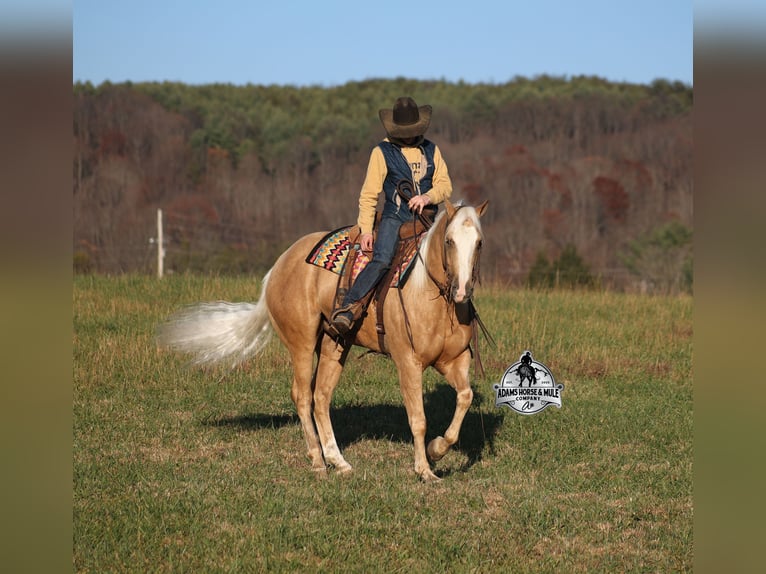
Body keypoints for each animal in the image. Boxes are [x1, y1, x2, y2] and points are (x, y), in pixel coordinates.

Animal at [158, 200, 488, 482]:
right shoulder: (408, 362)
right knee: (303, 396)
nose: (462, 291)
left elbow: (465, 397)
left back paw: (337, 460)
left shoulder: (454, 361)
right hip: (302, 344)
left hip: (333, 345)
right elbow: (418, 418)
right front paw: (425, 470)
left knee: (321, 398)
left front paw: (437, 449)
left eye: (479, 243)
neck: (430, 295)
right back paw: (318, 461)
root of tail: (279, 266)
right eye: (449, 241)